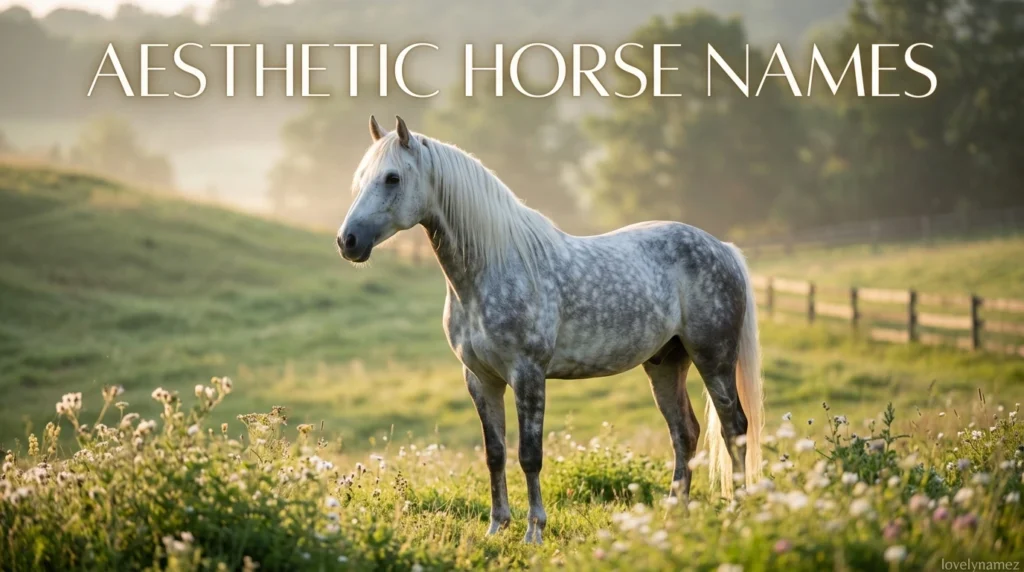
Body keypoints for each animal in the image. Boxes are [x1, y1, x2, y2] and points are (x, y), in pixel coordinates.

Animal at [337, 115, 764, 544]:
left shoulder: (528, 374)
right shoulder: (480, 378)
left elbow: (530, 455)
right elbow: (495, 453)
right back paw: (674, 515)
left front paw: (533, 532)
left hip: (714, 360)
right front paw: (496, 526)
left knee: (735, 428)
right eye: (360, 177)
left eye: (392, 178)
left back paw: (737, 512)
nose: (347, 241)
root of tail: (723, 248)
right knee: (685, 433)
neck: (493, 268)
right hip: (666, 364)